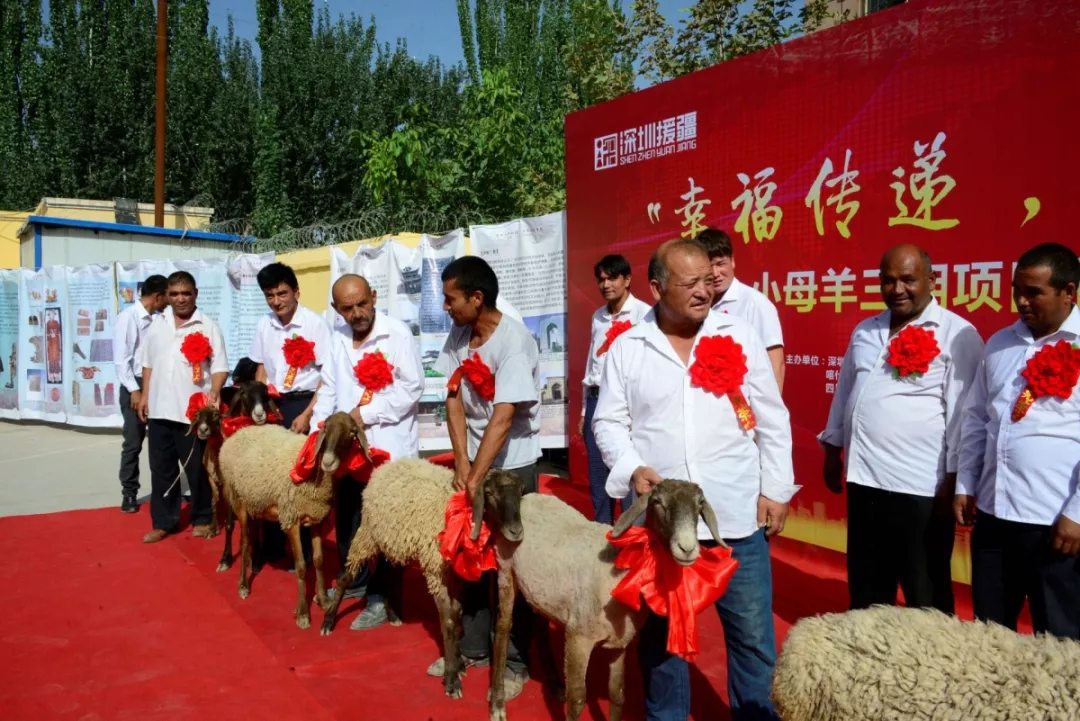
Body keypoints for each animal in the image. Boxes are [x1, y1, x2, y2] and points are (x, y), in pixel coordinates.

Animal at [216, 411, 371, 629]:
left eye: (351, 433)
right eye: (325, 429)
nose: (328, 462)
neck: (315, 478)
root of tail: (240, 432)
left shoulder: (317, 519)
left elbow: (319, 560)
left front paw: (323, 600)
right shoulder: (291, 519)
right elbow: (301, 566)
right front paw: (303, 614)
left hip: (254, 502)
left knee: (250, 539)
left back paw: (252, 564)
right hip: (238, 500)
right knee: (244, 542)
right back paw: (243, 584)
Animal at [319, 458, 525, 701]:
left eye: (520, 493)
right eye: (491, 494)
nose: (516, 531)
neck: (460, 514)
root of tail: (385, 467)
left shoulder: (457, 575)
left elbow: (457, 617)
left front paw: (457, 664)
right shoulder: (436, 572)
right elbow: (448, 623)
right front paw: (451, 680)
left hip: (394, 540)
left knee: (391, 574)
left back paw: (393, 615)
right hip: (368, 534)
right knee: (345, 578)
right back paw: (328, 621)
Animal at [489, 479, 726, 721]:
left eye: (700, 504)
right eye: (658, 502)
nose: (687, 548)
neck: (623, 569)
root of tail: (528, 498)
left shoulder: (620, 642)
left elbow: (617, 693)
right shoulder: (577, 637)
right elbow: (577, 701)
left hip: (542, 592)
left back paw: (555, 684)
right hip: (506, 568)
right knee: (503, 628)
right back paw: (497, 705)